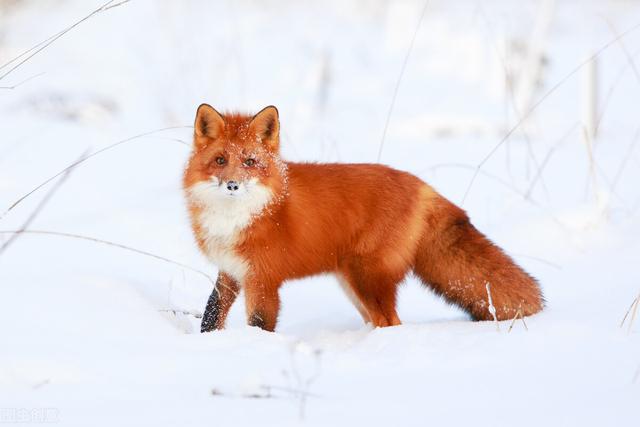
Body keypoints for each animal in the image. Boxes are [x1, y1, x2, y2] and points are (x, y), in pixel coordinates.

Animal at [182, 105, 544, 332]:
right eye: (220, 160)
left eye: (250, 162)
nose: (232, 184)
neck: (238, 218)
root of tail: (422, 185)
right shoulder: (231, 270)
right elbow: (211, 315)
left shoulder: (263, 278)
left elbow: (260, 324)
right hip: (352, 282)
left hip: (367, 278)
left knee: (391, 324)